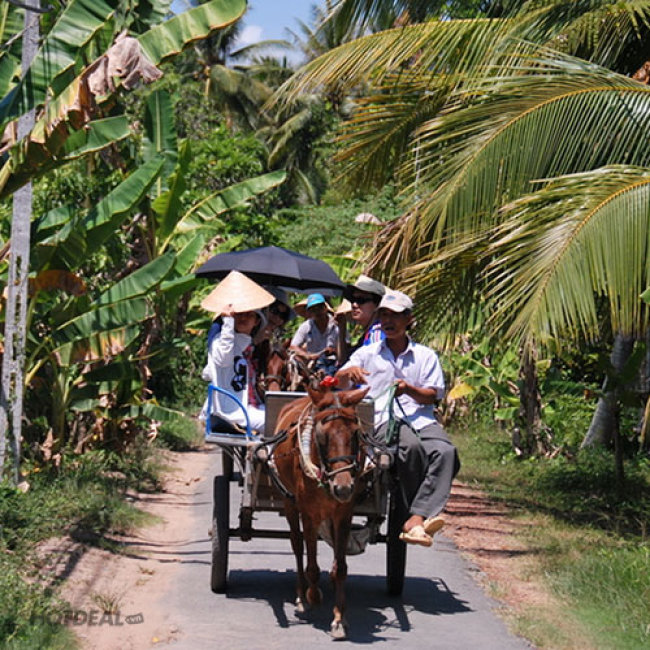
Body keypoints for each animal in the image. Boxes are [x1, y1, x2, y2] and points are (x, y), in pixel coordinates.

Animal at [269, 382, 370, 639]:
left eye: (355, 433)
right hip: (289, 502)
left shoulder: (344, 514)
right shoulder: (309, 513)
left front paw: (339, 619)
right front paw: (312, 596)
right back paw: (301, 594)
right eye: (322, 436)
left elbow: (341, 567)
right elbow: (312, 564)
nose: (343, 487)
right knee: (297, 545)